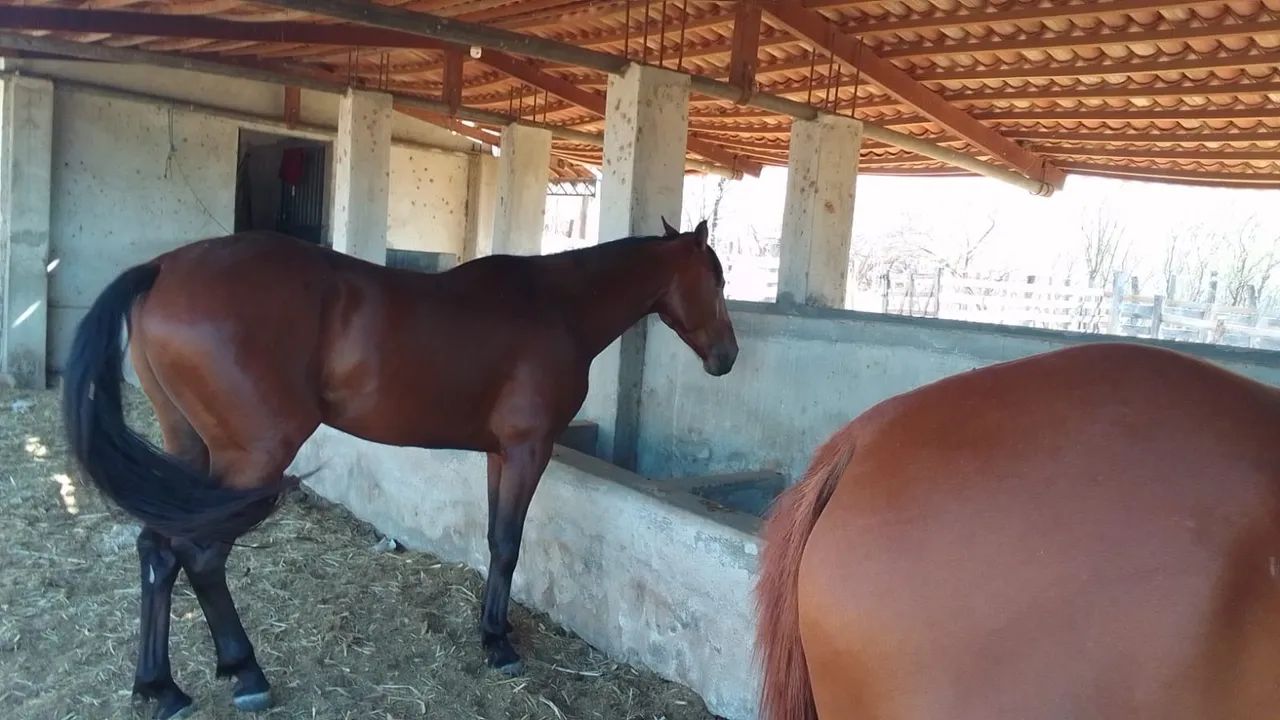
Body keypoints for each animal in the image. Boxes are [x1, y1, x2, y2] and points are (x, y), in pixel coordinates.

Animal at [61, 218, 737, 720]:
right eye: (716, 276)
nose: (727, 356)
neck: (556, 307)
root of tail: (163, 269)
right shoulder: (528, 449)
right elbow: (509, 543)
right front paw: (500, 645)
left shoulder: (500, 454)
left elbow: (495, 541)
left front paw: (490, 631)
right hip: (251, 456)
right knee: (199, 554)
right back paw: (245, 672)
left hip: (189, 453)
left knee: (158, 549)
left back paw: (161, 687)